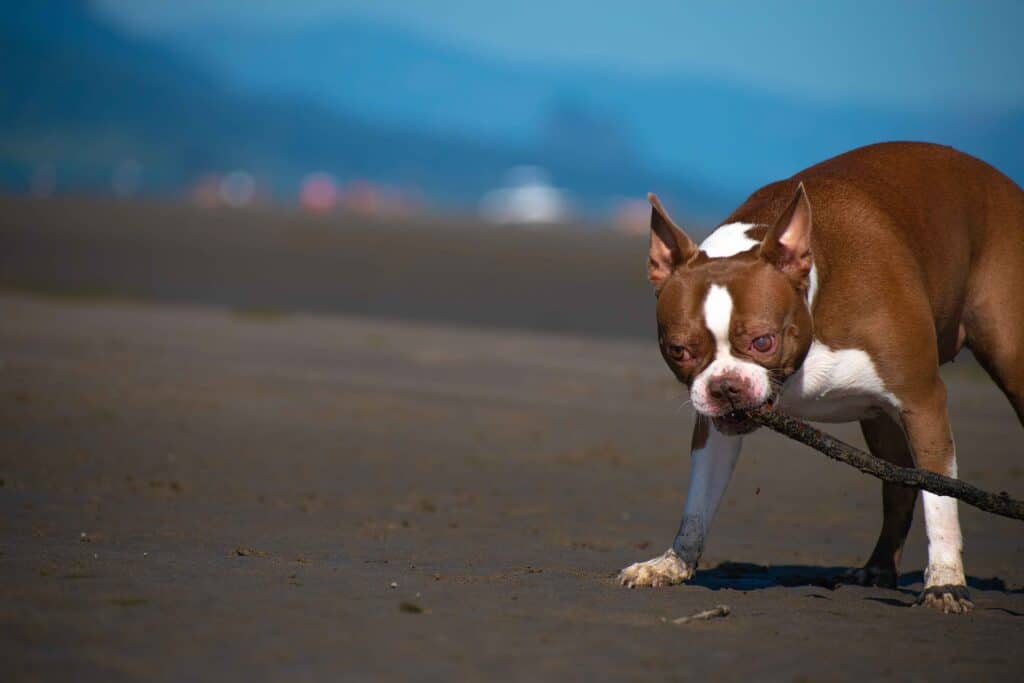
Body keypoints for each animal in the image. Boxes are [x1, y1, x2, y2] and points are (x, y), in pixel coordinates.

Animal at [614, 140, 1024, 614]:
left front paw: (945, 582)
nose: (726, 387)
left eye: (763, 341)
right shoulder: (714, 428)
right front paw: (673, 562)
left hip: (1009, 356)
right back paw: (877, 569)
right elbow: (699, 500)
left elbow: (940, 495)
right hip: (877, 419)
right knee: (899, 483)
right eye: (679, 351)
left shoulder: (922, 401)